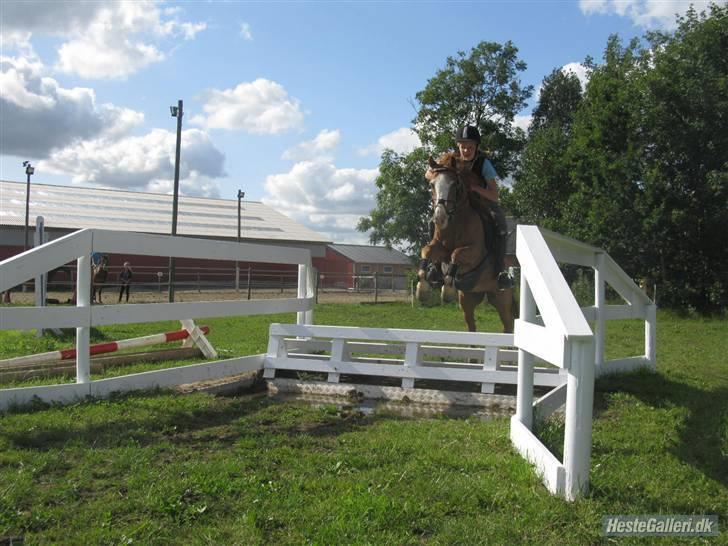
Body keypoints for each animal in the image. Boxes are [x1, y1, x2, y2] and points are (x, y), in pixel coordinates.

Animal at [416, 154, 516, 332]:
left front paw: (448, 289)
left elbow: (457, 254)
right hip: (468, 299)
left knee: (508, 324)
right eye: (432, 185)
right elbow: (426, 250)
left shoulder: (474, 252)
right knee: (471, 325)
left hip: (502, 299)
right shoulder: (440, 249)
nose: (439, 218)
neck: (455, 221)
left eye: (455, 184)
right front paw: (422, 288)